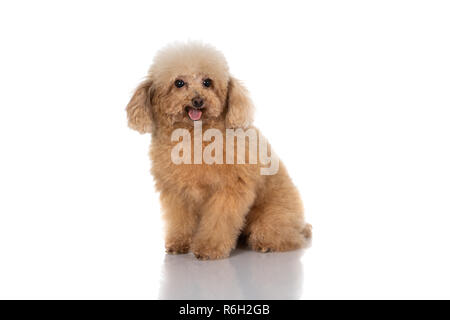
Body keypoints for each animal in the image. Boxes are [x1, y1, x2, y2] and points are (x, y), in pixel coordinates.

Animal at [125, 42, 310, 260]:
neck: (194, 136)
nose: (198, 100)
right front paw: (180, 243)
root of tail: (300, 225)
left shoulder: (228, 190)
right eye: (179, 83)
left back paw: (267, 244)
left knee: (285, 236)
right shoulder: (177, 193)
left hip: (272, 215)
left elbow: (218, 222)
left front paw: (209, 248)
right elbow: (180, 220)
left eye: (207, 82)